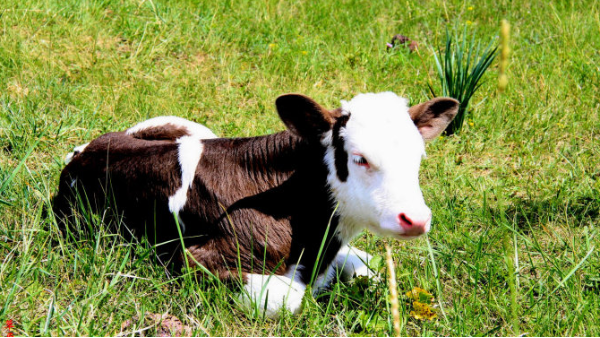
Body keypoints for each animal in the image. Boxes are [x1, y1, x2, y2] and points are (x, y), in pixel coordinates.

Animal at [55, 92, 460, 316]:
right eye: (360, 158)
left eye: (418, 156)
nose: (416, 218)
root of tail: (83, 150)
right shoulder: (193, 258)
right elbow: (291, 300)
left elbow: (367, 266)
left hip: (184, 125)